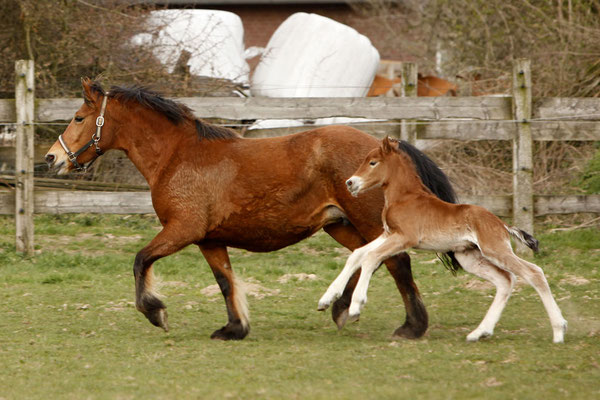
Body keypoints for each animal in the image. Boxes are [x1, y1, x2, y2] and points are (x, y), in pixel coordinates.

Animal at [44, 79, 458, 340]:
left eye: (79, 118)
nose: (51, 159)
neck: (178, 156)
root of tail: (383, 148)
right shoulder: (209, 240)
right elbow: (225, 282)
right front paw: (234, 329)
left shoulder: (181, 230)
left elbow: (140, 259)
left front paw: (156, 312)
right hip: (339, 224)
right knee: (363, 259)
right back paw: (341, 308)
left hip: (368, 222)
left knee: (395, 263)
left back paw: (411, 327)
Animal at [318, 138, 568, 344]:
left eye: (372, 162)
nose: (350, 183)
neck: (405, 197)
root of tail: (501, 224)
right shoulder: (388, 234)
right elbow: (357, 254)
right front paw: (326, 299)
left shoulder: (404, 238)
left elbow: (370, 257)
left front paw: (356, 306)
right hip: (469, 257)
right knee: (505, 280)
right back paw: (479, 332)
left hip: (494, 249)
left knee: (533, 272)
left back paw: (558, 331)